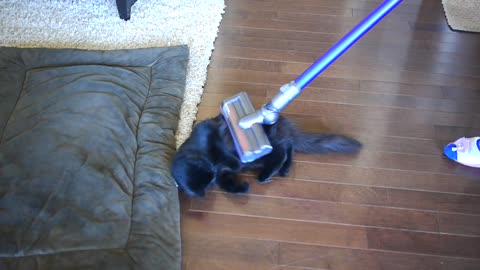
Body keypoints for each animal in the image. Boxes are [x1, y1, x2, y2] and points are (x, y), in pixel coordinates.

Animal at [171, 113, 362, 197]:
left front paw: (236, 166)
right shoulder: (221, 176)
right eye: (209, 181)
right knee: (288, 148)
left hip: (265, 149)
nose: (214, 171)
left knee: (282, 152)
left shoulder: (212, 138)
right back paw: (283, 170)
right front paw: (243, 188)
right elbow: (227, 185)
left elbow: (226, 156)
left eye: (210, 173)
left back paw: (265, 176)